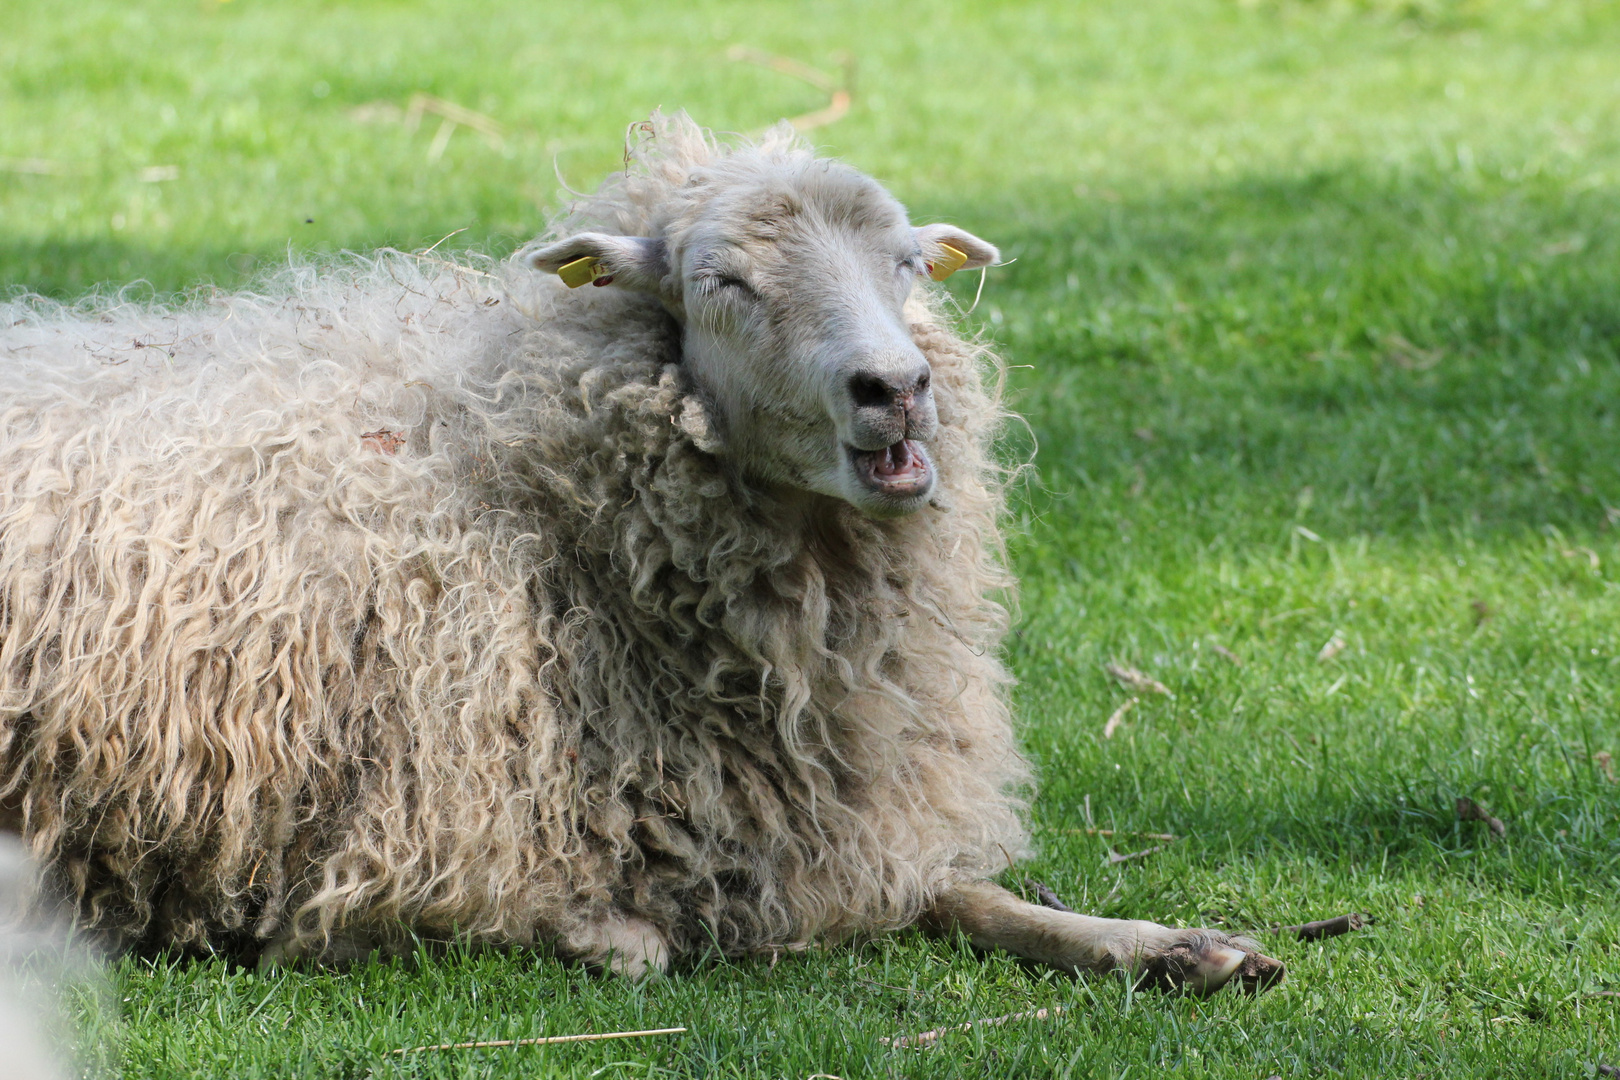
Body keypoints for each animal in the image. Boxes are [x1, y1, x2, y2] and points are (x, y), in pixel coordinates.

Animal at [0, 111, 1283, 997]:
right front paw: (603, 932)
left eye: (910, 264)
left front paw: (1179, 945)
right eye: (723, 282)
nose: (898, 390)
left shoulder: (829, 826)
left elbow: (973, 895)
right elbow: (622, 947)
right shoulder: (415, 838)